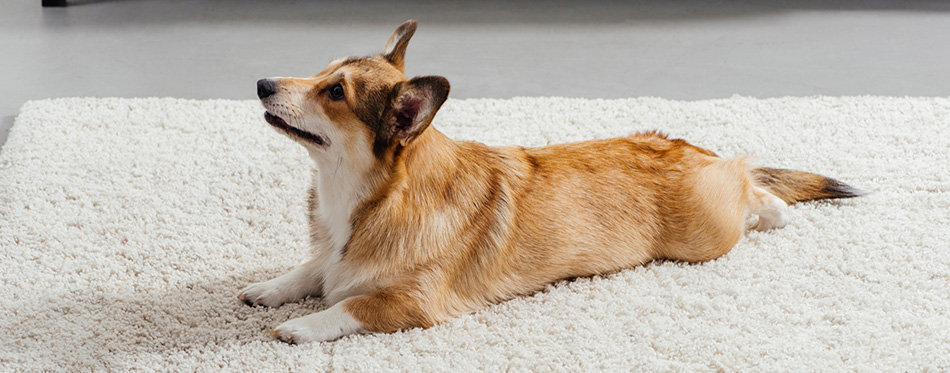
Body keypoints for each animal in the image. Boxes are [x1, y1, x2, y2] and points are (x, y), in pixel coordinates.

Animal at [238, 20, 864, 342]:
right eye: (321, 71)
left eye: (335, 93)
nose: (262, 83)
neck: (358, 196)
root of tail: (684, 147)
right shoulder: (327, 257)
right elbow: (308, 271)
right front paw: (269, 290)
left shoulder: (414, 306)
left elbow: (347, 307)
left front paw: (298, 326)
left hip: (705, 236)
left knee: (748, 176)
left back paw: (772, 209)